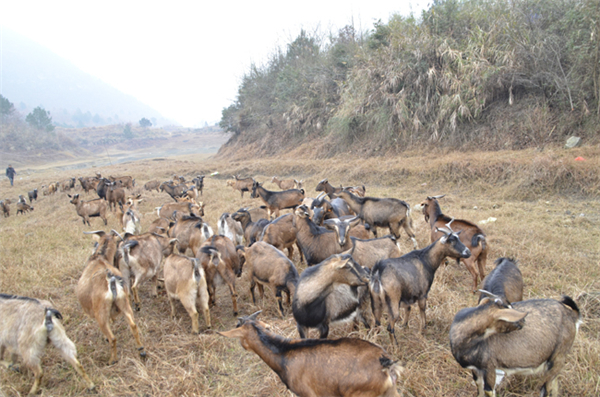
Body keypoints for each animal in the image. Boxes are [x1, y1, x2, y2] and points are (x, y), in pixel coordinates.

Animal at [77, 230, 146, 364]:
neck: (99, 258)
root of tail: (111, 281)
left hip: (101, 314)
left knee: (112, 337)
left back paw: (112, 360)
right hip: (124, 304)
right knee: (133, 326)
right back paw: (141, 349)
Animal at [450, 290, 580, 396]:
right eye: (507, 310)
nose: (523, 321)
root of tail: (572, 315)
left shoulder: (489, 367)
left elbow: (488, 391)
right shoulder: (476, 370)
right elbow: (479, 389)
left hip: (558, 357)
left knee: (546, 388)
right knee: (554, 385)